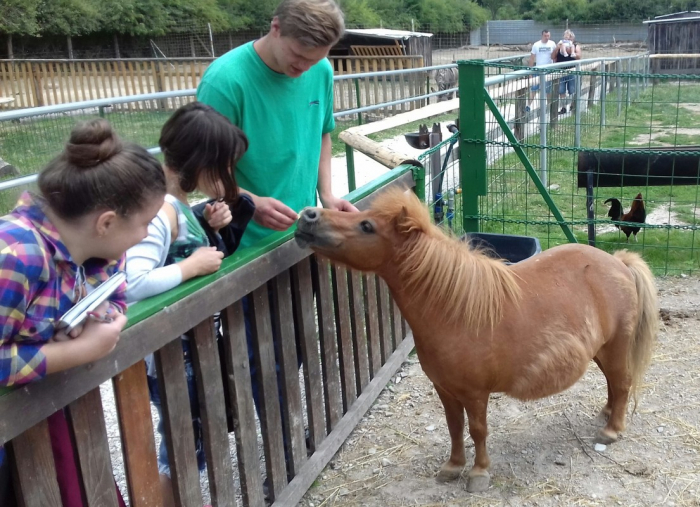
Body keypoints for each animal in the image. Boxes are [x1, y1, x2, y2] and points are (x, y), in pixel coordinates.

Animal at [294, 188, 656, 492]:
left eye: (367, 226)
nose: (308, 216)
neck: (453, 310)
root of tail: (618, 262)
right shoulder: (445, 389)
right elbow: (454, 427)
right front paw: (453, 467)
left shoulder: (475, 393)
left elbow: (477, 430)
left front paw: (479, 473)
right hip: (601, 350)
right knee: (613, 384)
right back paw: (606, 414)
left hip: (616, 346)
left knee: (622, 382)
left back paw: (612, 430)